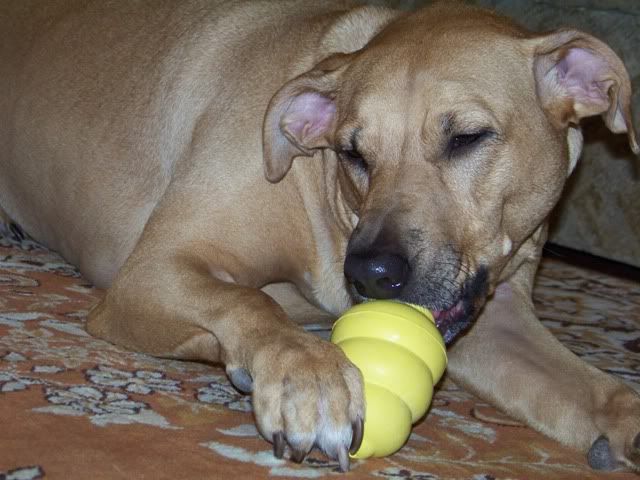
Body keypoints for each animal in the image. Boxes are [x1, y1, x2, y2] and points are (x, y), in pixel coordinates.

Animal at [1, 0, 638, 473]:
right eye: (353, 152)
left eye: (467, 138)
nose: (371, 274)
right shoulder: (156, 268)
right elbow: (248, 299)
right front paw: (305, 374)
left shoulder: (496, 320)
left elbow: (601, 393)